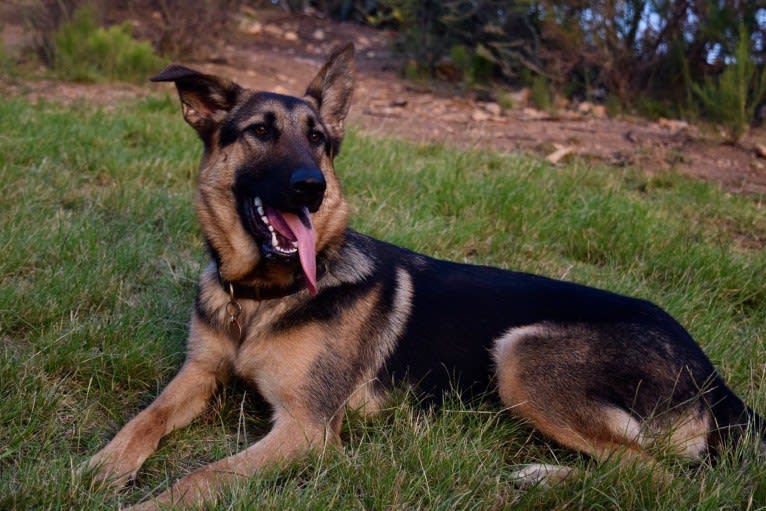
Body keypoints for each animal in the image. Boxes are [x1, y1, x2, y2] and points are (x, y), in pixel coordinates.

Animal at [88, 46, 760, 510]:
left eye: (319, 139)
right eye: (260, 132)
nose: (313, 187)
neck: (261, 300)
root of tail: (714, 376)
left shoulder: (306, 429)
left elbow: (206, 474)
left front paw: (149, 502)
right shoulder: (198, 374)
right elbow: (145, 418)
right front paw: (100, 466)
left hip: (522, 353)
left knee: (660, 477)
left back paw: (547, 479)